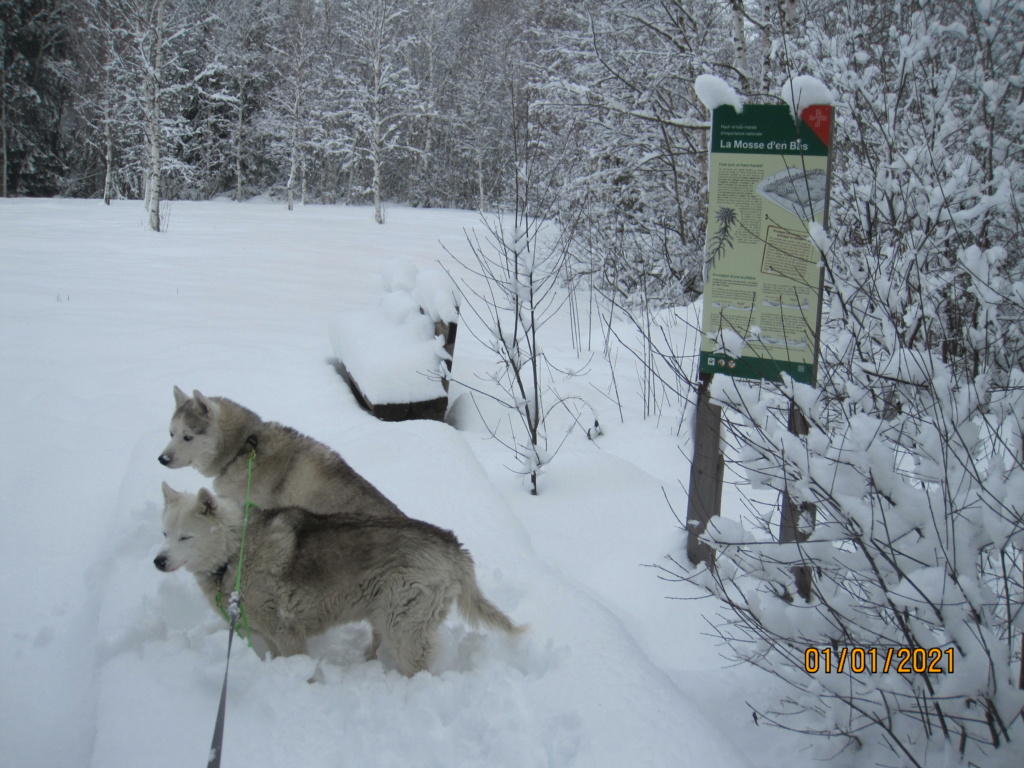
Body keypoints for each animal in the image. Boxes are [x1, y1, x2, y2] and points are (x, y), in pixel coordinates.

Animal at [153, 483, 520, 675]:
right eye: (165, 533)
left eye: (186, 537)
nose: (158, 561)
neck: (235, 553)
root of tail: (453, 544)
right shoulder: (265, 633)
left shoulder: (287, 631)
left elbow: (300, 666)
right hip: (386, 615)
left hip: (403, 626)